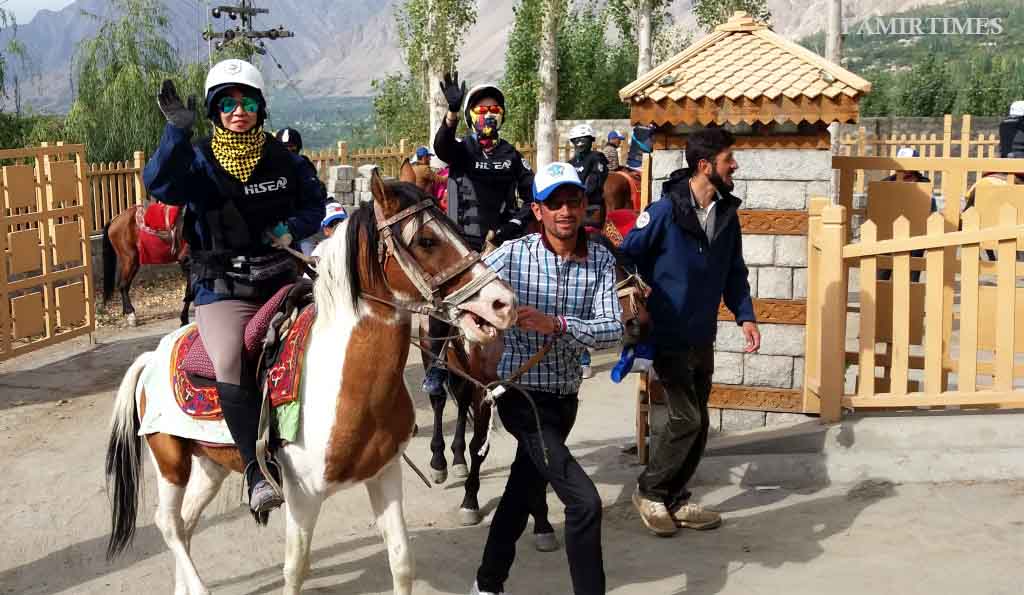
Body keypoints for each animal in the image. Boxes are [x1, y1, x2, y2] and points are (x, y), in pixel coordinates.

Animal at [104, 168, 516, 589]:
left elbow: (401, 561)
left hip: (211, 464)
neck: (346, 384)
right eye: (426, 240)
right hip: (170, 461)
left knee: (185, 525)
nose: (503, 303)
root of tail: (152, 357)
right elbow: (295, 569)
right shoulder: (302, 497)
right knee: (169, 525)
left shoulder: (385, 475)